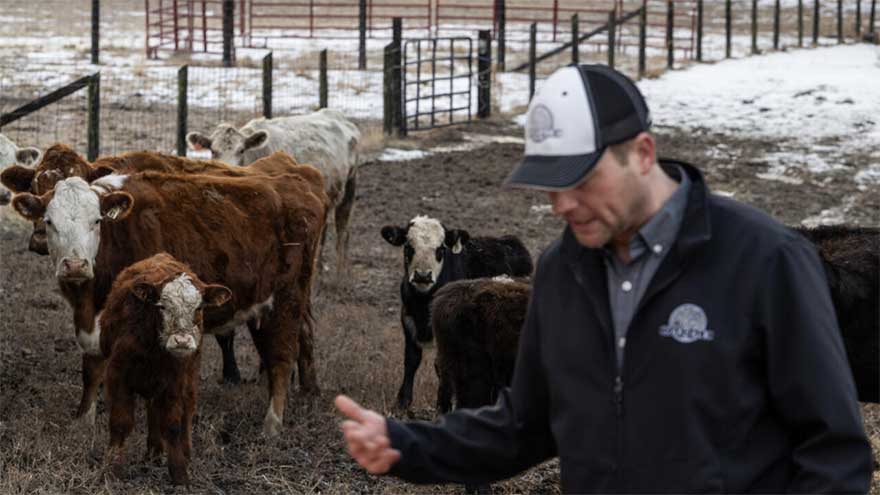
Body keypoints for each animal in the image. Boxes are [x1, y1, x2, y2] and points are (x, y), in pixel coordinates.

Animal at [11, 157, 327, 436]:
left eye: (97, 220)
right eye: (49, 221)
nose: (75, 265)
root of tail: (296, 179)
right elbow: (91, 369)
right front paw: (83, 420)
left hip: (286, 301)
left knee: (281, 358)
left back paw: (272, 425)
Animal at [100, 253, 231, 485]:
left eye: (199, 308)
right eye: (162, 306)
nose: (182, 341)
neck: (153, 349)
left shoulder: (175, 381)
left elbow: (172, 425)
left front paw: (179, 473)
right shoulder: (117, 375)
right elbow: (120, 422)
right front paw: (112, 470)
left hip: (189, 377)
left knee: (187, 409)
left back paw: (181, 451)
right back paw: (153, 451)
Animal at [186, 108, 360, 275]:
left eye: (241, 150)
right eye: (213, 151)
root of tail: (336, 115)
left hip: (349, 186)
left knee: (342, 231)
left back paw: (340, 276)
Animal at [381, 215, 533, 410]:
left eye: (440, 249)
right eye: (409, 247)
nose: (423, 276)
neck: (423, 302)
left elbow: (440, 366)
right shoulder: (407, 319)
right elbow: (411, 359)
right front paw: (402, 402)